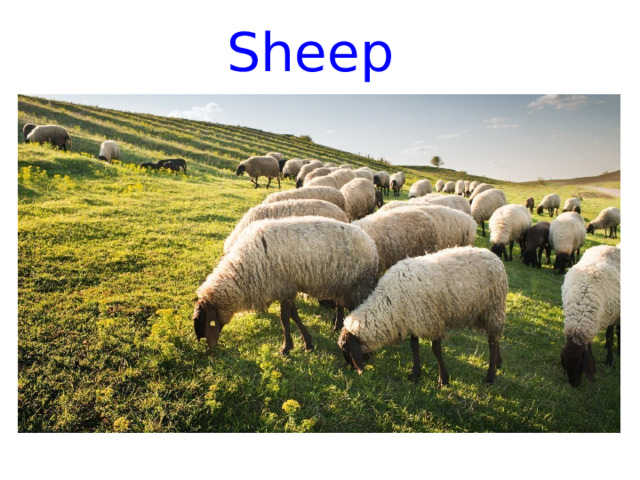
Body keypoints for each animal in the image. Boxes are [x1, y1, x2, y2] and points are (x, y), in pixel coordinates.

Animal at [193, 216, 379, 355]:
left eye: (207, 323)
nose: (210, 350)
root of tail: (372, 244)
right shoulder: (288, 289)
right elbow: (293, 315)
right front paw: (307, 343)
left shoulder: (284, 288)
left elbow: (285, 318)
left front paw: (286, 348)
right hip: (343, 286)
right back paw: (338, 326)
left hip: (359, 285)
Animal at [338, 246, 508, 386]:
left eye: (346, 348)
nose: (351, 368)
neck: (390, 303)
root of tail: (492, 255)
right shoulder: (413, 319)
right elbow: (414, 347)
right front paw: (415, 374)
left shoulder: (433, 320)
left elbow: (436, 350)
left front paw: (443, 379)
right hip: (484, 313)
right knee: (496, 337)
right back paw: (498, 362)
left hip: (493, 308)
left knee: (492, 342)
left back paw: (490, 376)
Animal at [560, 245, 620, 387]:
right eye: (565, 364)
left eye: (580, 363)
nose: (574, 384)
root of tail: (607, 246)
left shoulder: (612, 316)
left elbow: (610, 337)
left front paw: (610, 361)